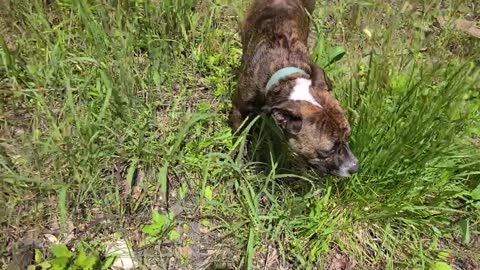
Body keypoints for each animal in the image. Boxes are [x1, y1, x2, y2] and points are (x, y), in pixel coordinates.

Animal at [231, 0, 358, 177]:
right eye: (327, 152)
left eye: (348, 136)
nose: (356, 167)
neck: (286, 77)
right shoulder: (239, 108)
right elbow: (240, 133)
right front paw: (237, 156)